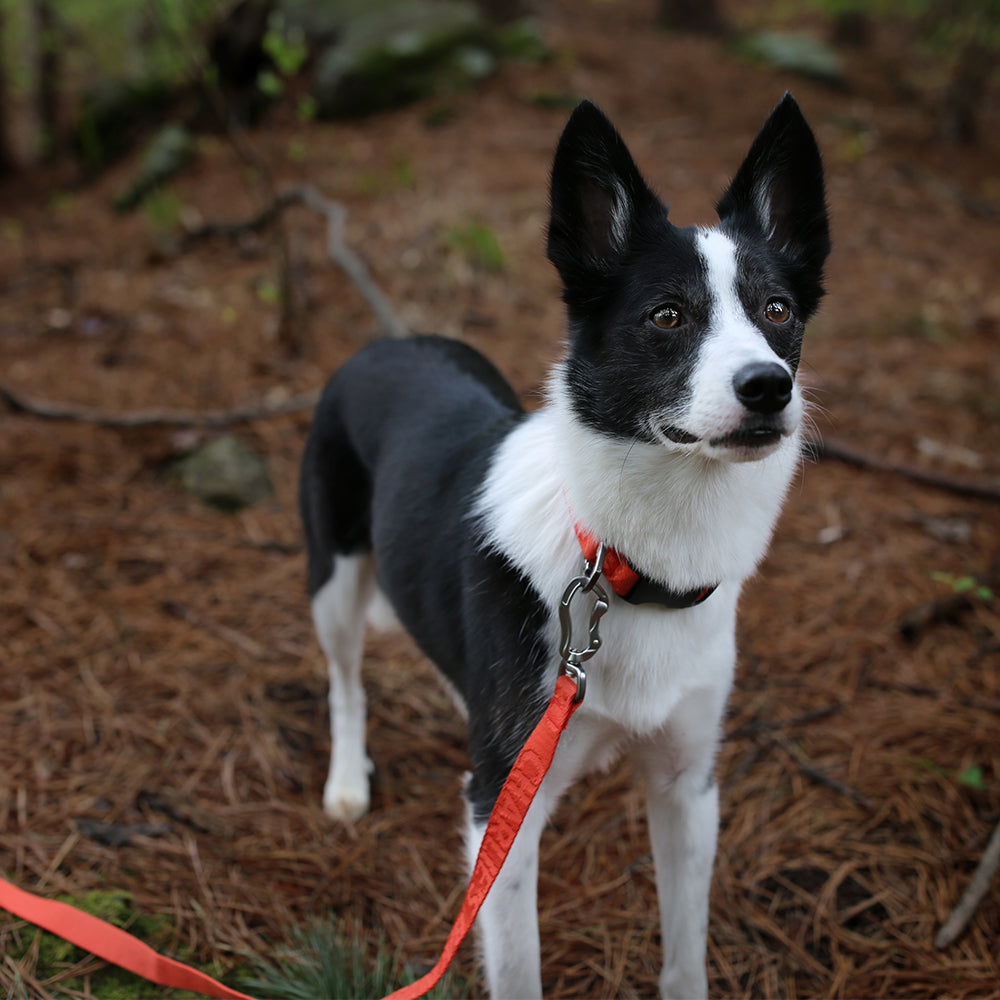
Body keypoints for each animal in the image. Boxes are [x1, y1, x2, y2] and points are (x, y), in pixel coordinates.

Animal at [296, 95, 828, 1000]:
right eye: (667, 315)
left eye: (778, 311)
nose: (769, 387)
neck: (624, 565)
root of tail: (390, 341)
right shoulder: (500, 818)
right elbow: (517, 966)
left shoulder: (690, 787)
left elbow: (685, 954)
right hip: (331, 579)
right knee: (344, 682)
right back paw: (343, 782)